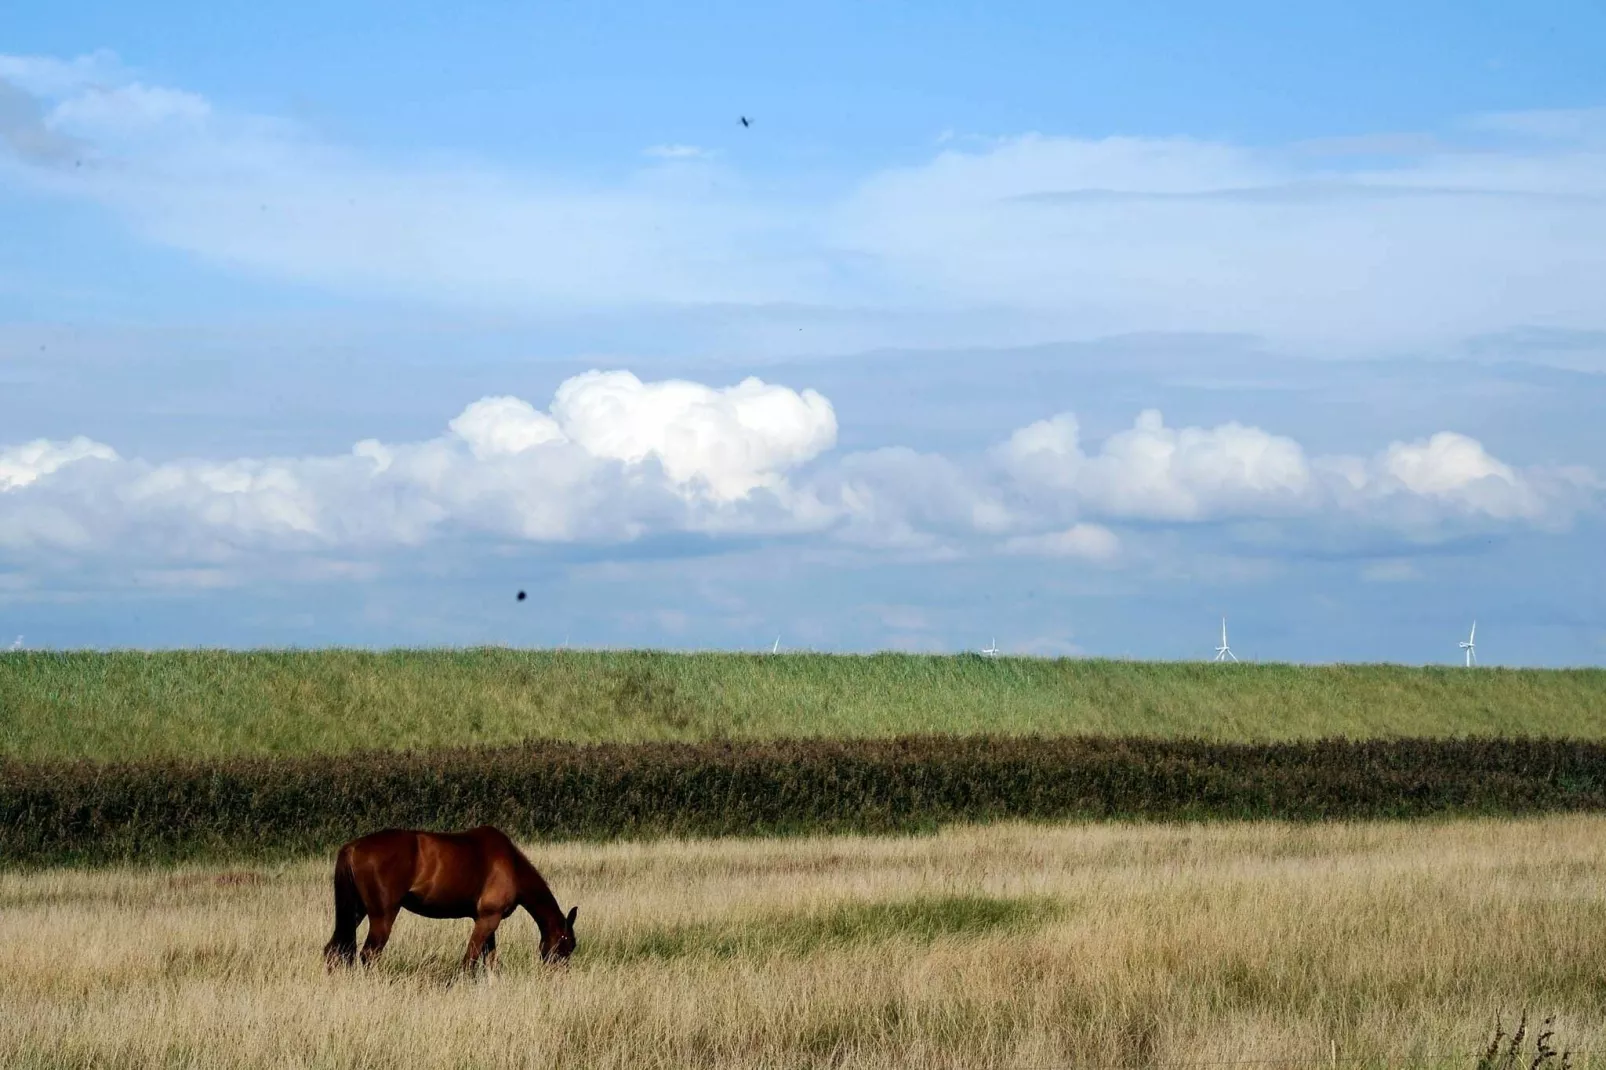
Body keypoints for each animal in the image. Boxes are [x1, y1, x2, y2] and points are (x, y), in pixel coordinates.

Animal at [322, 819, 581, 970]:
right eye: (567, 944)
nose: (558, 973)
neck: (512, 865)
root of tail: (352, 847)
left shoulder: (486, 920)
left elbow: (490, 961)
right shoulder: (488, 919)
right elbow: (470, 961)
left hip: (356, 911)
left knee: (334, 950)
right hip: (382, 916)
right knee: (369, 954)